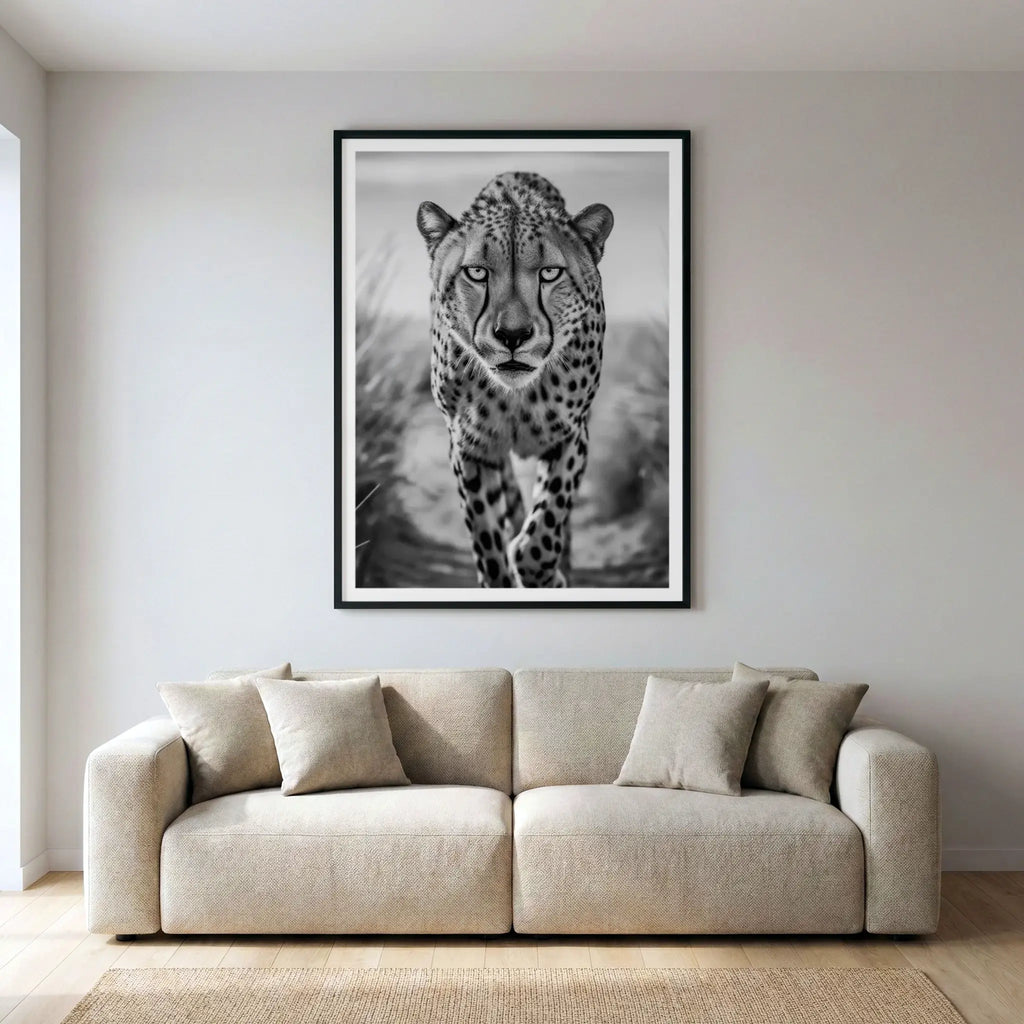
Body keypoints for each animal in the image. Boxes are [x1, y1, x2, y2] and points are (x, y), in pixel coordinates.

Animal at [416, 171, 614, 588]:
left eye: (550, 273)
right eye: (476, 272)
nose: (512, 335)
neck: (515, 394)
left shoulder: (572, 435)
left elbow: (549, 517)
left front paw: (544, 572)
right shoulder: (470, 447)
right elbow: (486, 538)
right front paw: (504, 573)